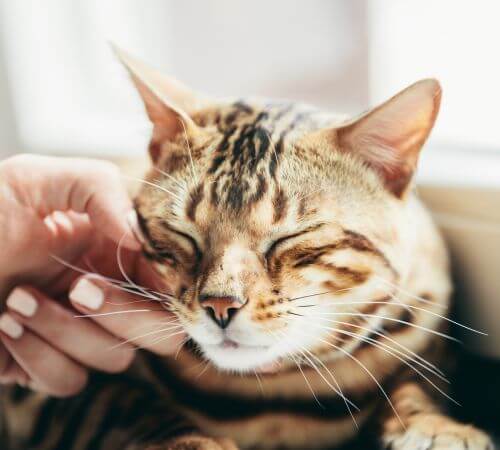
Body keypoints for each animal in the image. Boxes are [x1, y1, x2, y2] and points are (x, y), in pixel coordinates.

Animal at [0, 47, 492, 448]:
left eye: (290, 237)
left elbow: (418, 382)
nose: (219, 305)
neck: (274, 397)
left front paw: (438, 426)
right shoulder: (48, 396)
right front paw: (190, 442)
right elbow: (123, 404)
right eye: (183, 233)